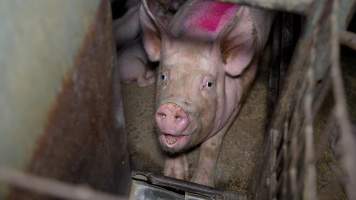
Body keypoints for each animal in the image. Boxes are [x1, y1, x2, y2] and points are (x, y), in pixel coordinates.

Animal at [139, 0, 272, 187]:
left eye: (209, 84)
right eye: (163, 76)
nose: (172, 107)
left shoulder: (237, 102)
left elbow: (211, 144)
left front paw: (201, 184)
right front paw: (175, 177)